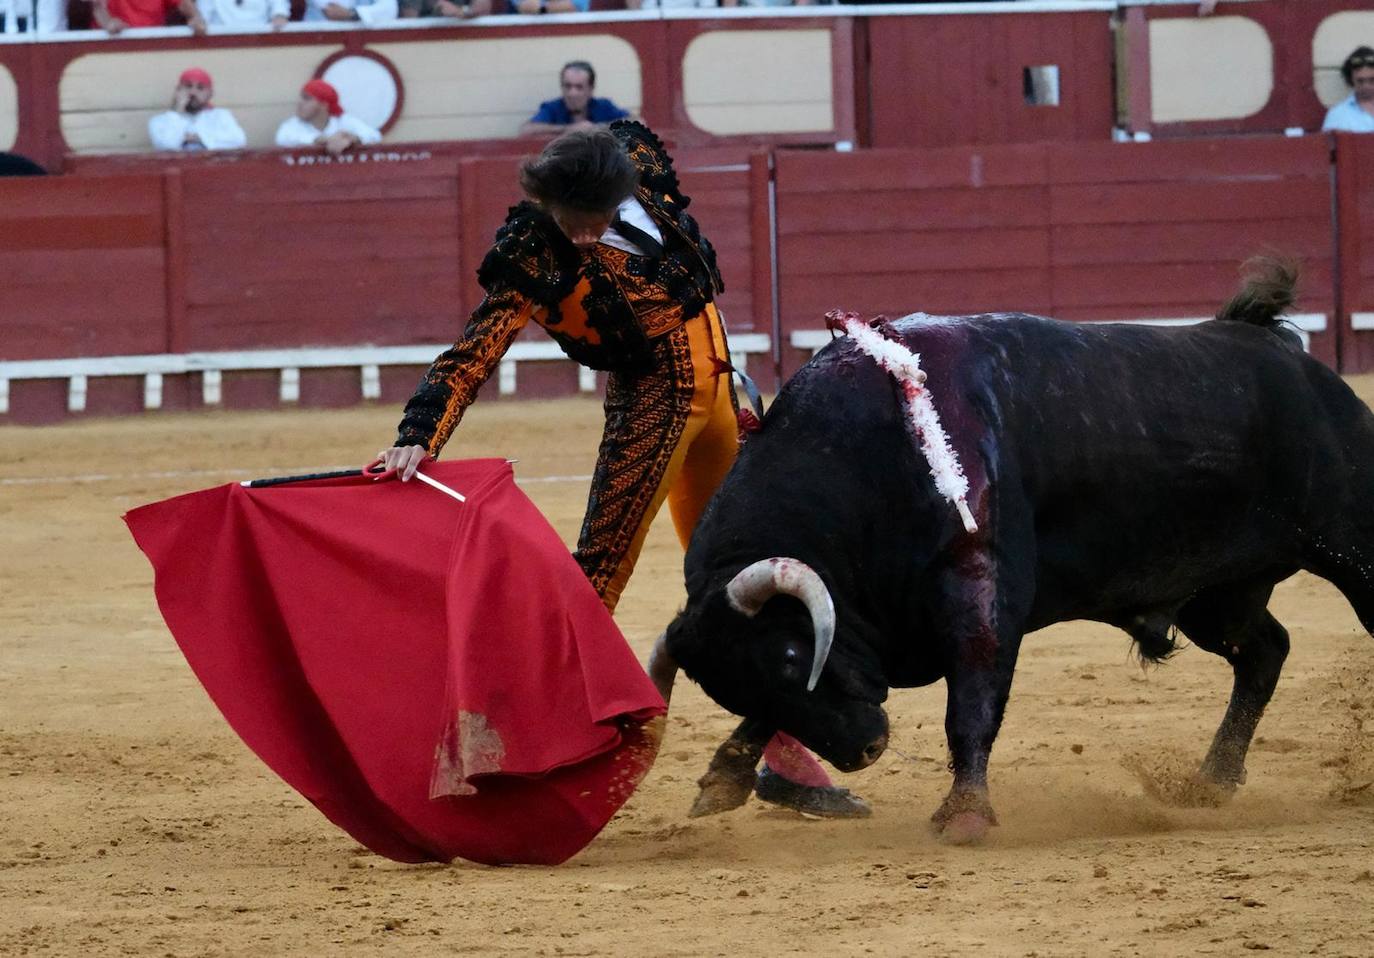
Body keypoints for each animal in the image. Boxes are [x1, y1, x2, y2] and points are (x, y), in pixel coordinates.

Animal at [654, 259, 1374, 835]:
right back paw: (1211, 781)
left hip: (1350, 547)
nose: (865, 750)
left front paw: (965, 814)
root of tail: (1280, 349)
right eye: (739, 688)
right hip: (1216, 594)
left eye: (790, 656)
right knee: (1264, 651)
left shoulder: (980, 581)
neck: (857, 457)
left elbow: (973, 697)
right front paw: (723, 777)